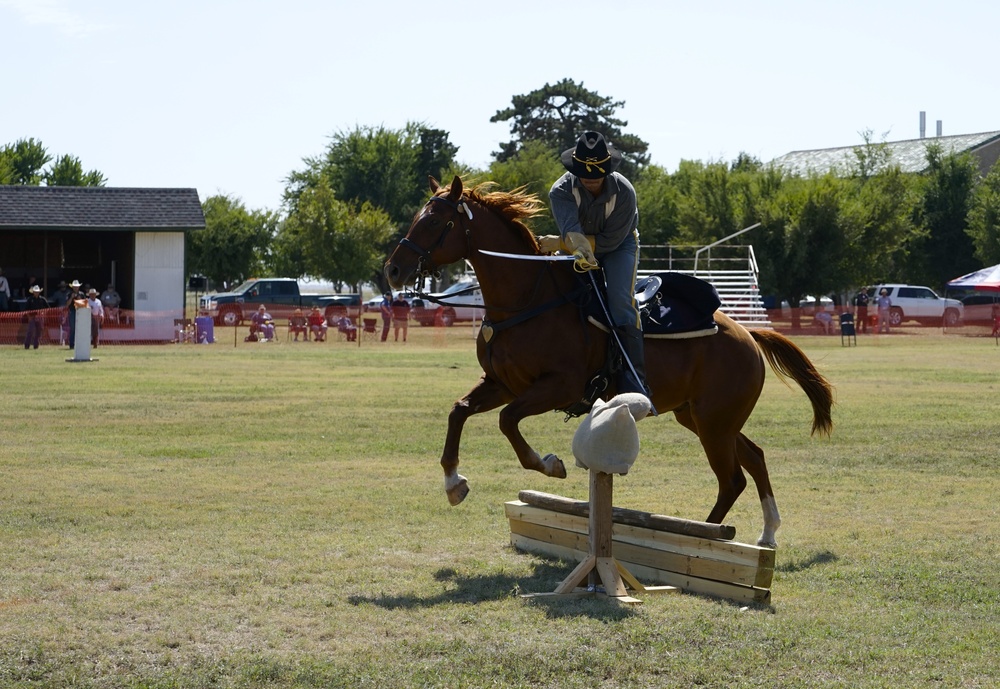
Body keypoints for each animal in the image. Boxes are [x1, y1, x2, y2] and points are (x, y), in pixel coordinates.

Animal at [386, 175, 832, 544]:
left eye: (433, 222)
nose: (392, 270)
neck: (527, 299)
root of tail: (748, 335)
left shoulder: (555, 387)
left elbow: (507, 421)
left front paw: (549, 464)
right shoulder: (502, 384)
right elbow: (459, 411)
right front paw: (453, 483)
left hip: (714, 422)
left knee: (732, 478)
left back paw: (707, 534)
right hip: (702, 418)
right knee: (753, 459)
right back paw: (765, 532)